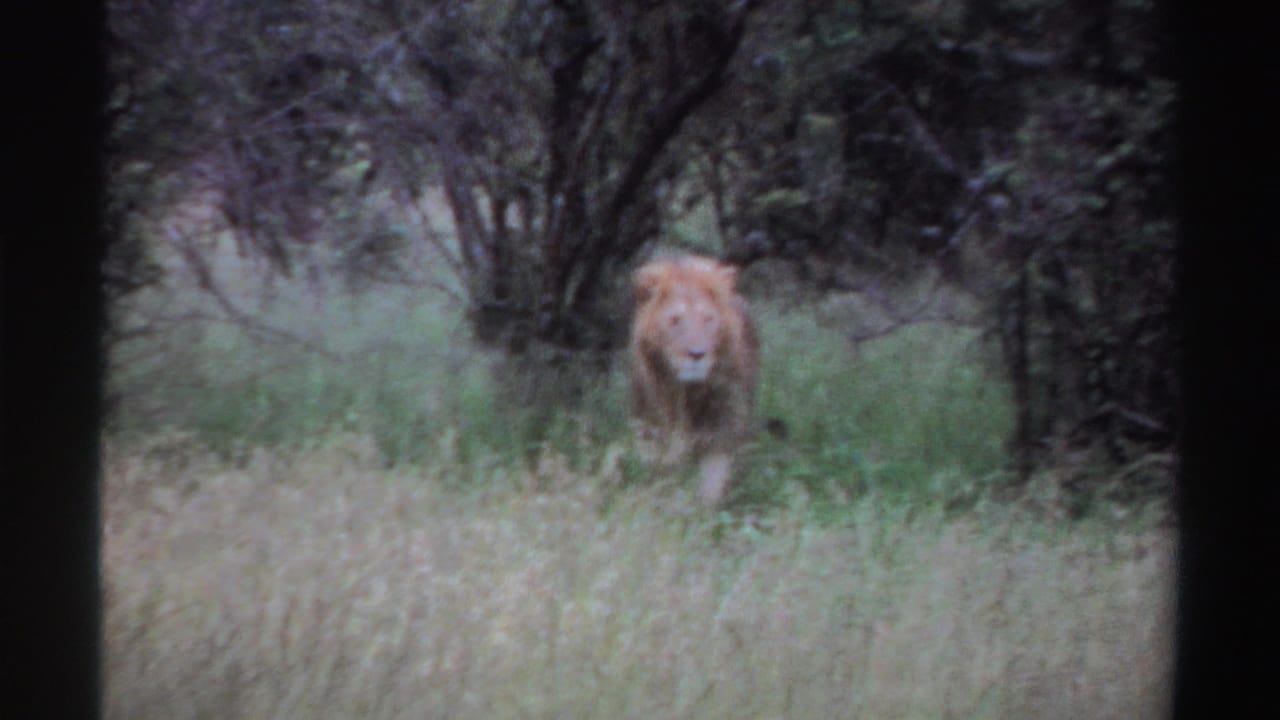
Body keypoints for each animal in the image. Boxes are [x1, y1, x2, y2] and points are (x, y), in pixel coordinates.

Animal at [629, 255, 760, 505]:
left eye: (708, 319)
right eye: (675, 320)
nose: (697, 354)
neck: (687, 393)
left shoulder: (723, 428)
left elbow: (713, 482)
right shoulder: (651, 429)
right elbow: (662, 469)